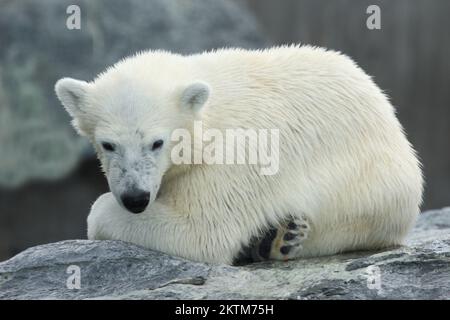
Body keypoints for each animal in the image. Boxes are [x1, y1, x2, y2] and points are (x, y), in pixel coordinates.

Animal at [54, 45, 424, 264]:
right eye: (108, 144)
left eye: (157, 143)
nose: (135, 198)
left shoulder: (236, 155)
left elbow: (201, 231)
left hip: (371, 191)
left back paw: (280, 239)